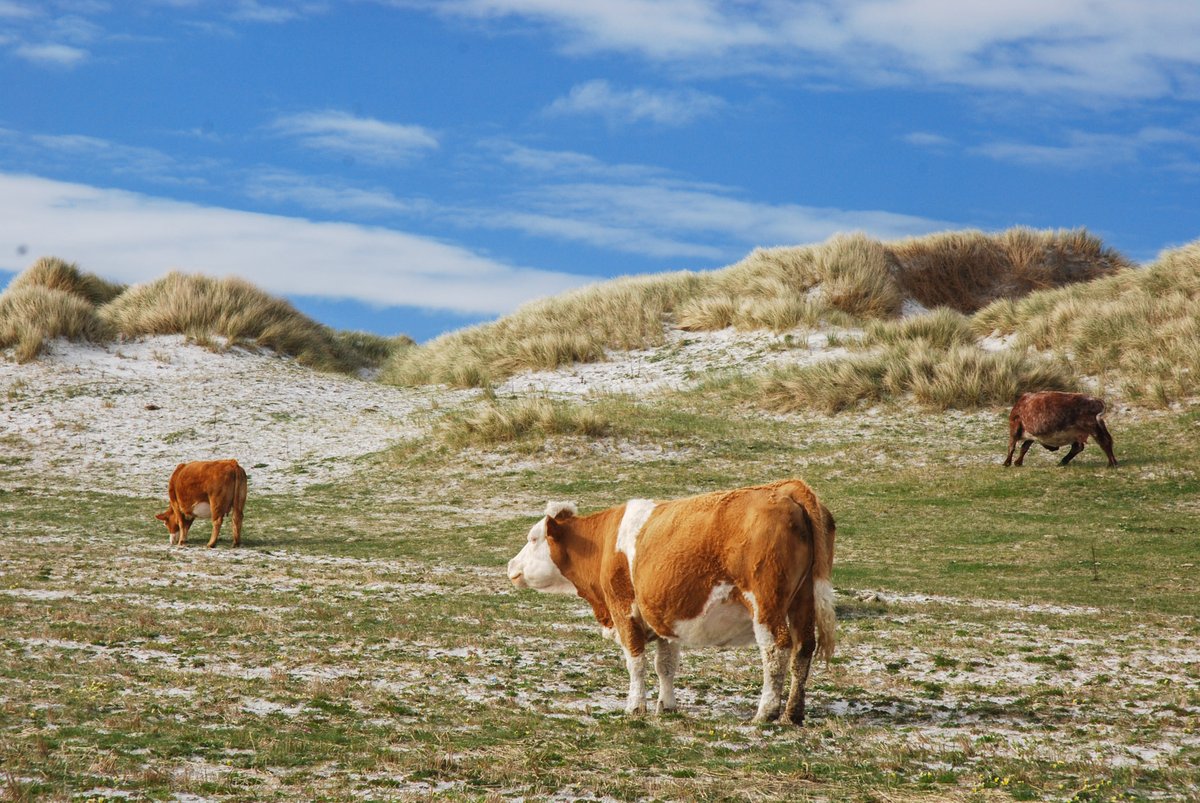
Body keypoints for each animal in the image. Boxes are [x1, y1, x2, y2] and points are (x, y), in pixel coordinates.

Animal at [506, 480, 835, 724]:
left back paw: (766, 712)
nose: (511, 565)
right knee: (803, 649)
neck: (602, 543)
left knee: (776, 650)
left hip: (767, 605)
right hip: (803, 600)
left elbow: (636, 662)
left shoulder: (623, 609)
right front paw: (666, 706)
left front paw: (635, 706)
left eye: (533, 538)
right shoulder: (664, 619)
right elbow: (665, 665)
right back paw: (793, 713)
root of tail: (787, 489)